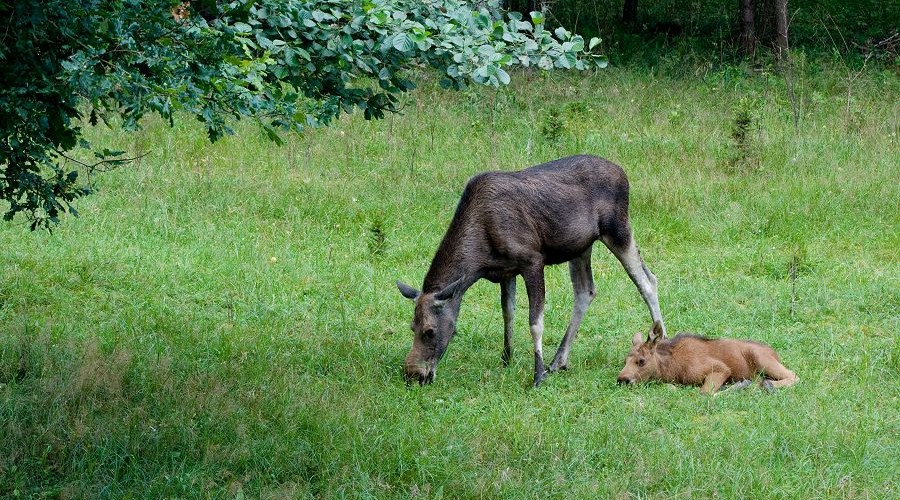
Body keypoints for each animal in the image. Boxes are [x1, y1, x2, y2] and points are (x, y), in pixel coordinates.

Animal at [398, 154, 664, 388]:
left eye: (430, 331)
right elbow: (508, 313)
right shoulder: (506, 272)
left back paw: (660, 342)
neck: (479, 260)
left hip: (618, 229)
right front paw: (507, 358)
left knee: (648, 281)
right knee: (586, 291)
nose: (413, 375)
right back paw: (558, 361)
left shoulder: (533, 261)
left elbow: (535, 323)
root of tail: (623, 173)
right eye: (412, 327)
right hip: (581, 247)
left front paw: (537, 375)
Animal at [616, 320, 800, 394]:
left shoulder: (720, 368)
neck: (670, 368)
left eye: (641, 361)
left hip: (763, 361)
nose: (622, 379)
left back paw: (765, 385)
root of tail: (774, 352)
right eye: (624, 361)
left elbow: (704, 393)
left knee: (793, 375)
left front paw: (739, 385)